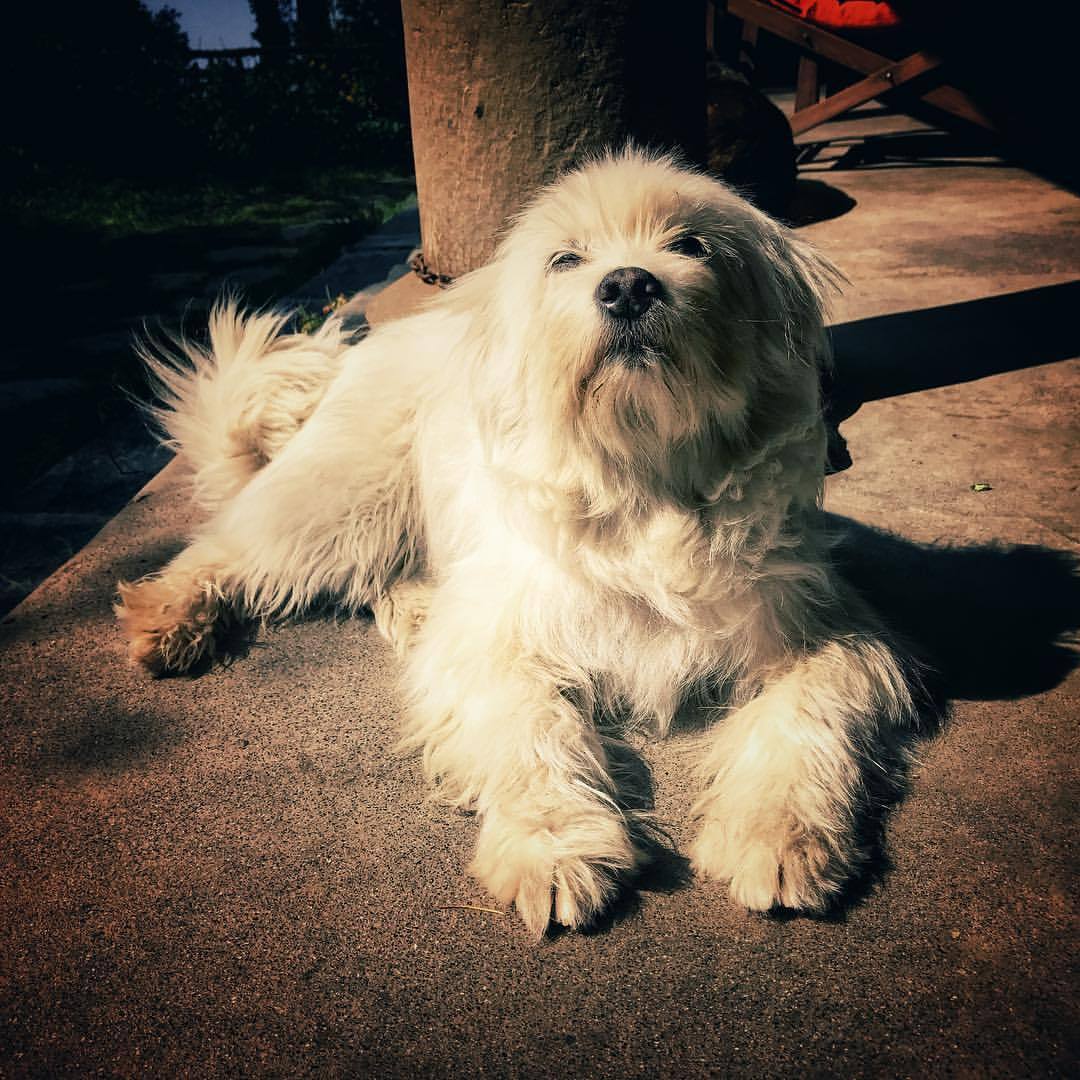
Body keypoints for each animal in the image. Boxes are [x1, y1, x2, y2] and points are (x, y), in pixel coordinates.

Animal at [116, 150, 911, 937]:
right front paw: (553, 848)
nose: (628, 286)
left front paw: (779, 837)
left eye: (692, 244)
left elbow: (800, 726)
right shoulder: (497, 644)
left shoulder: (824, 635)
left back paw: (412, 609)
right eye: (566, 259)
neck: (644, 484)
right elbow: (531, 732)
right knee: (225, 547)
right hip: (345, 504)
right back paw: (169, 619)